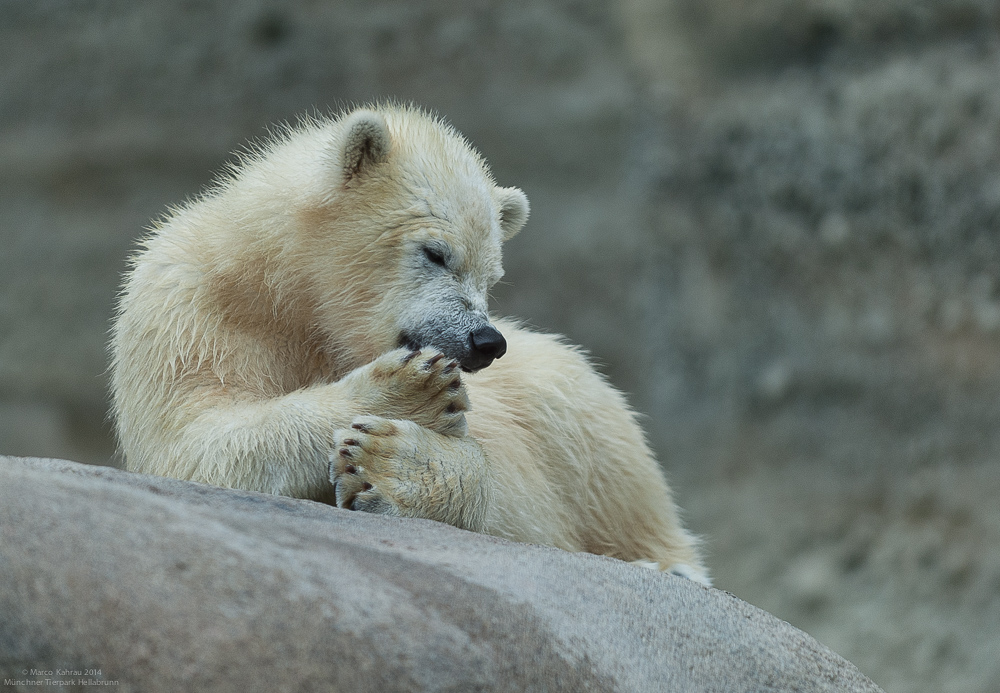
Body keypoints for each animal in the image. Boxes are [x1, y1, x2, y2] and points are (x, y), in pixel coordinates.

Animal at [109, 102, 708, 580]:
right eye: (436, 253)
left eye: (492, 277)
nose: (487, 340)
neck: (287, 294)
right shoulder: (188, 316)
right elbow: (195, 441)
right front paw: (403, 393)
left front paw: (390, 463)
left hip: (561, 394)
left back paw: (665, 566)